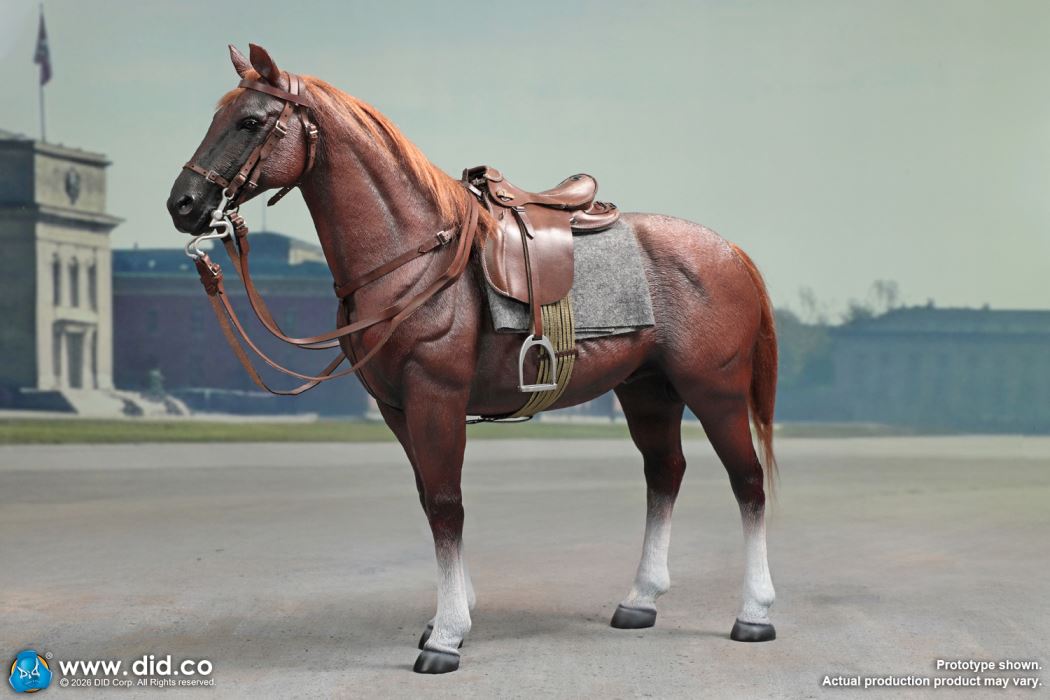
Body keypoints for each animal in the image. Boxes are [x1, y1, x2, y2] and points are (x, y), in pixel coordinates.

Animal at [166, 43, 779, 675]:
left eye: (250, 121)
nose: (183, 204)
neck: (414, 257)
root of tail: (729, 251)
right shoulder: (397, 409)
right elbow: (428, 500)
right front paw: (447, 615)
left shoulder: (435, 396)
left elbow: (446, 505)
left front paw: (447, 636)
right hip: (647, 391)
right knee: (665, 473)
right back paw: (640, 601)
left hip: (714, 391)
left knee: (748, 482)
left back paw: (754, 613)